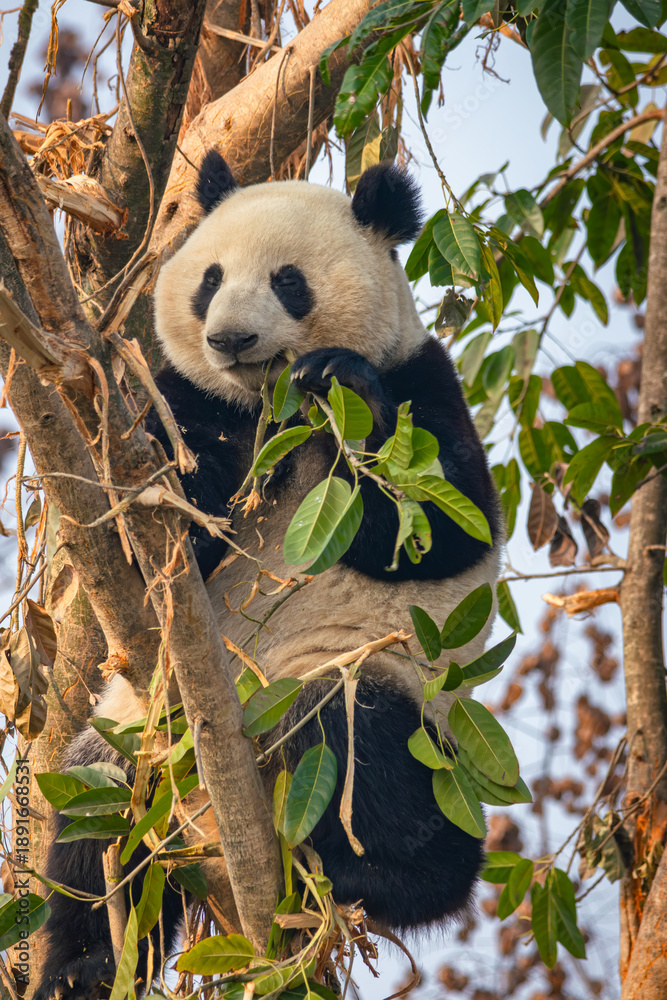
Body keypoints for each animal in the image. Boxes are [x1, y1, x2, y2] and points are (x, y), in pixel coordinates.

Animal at [34, 153, 502, 1000]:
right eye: (209, 279)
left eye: (289, 282)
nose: (230, 338)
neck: (271, 407)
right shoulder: (184, 396)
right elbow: (142, 530)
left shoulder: (422, 376)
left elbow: (441, 530)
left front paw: (342, 382)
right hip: (133, 739)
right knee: (93, 826)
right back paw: (81, 969)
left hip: (352, 675)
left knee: (358, 741)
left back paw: (380, 878)